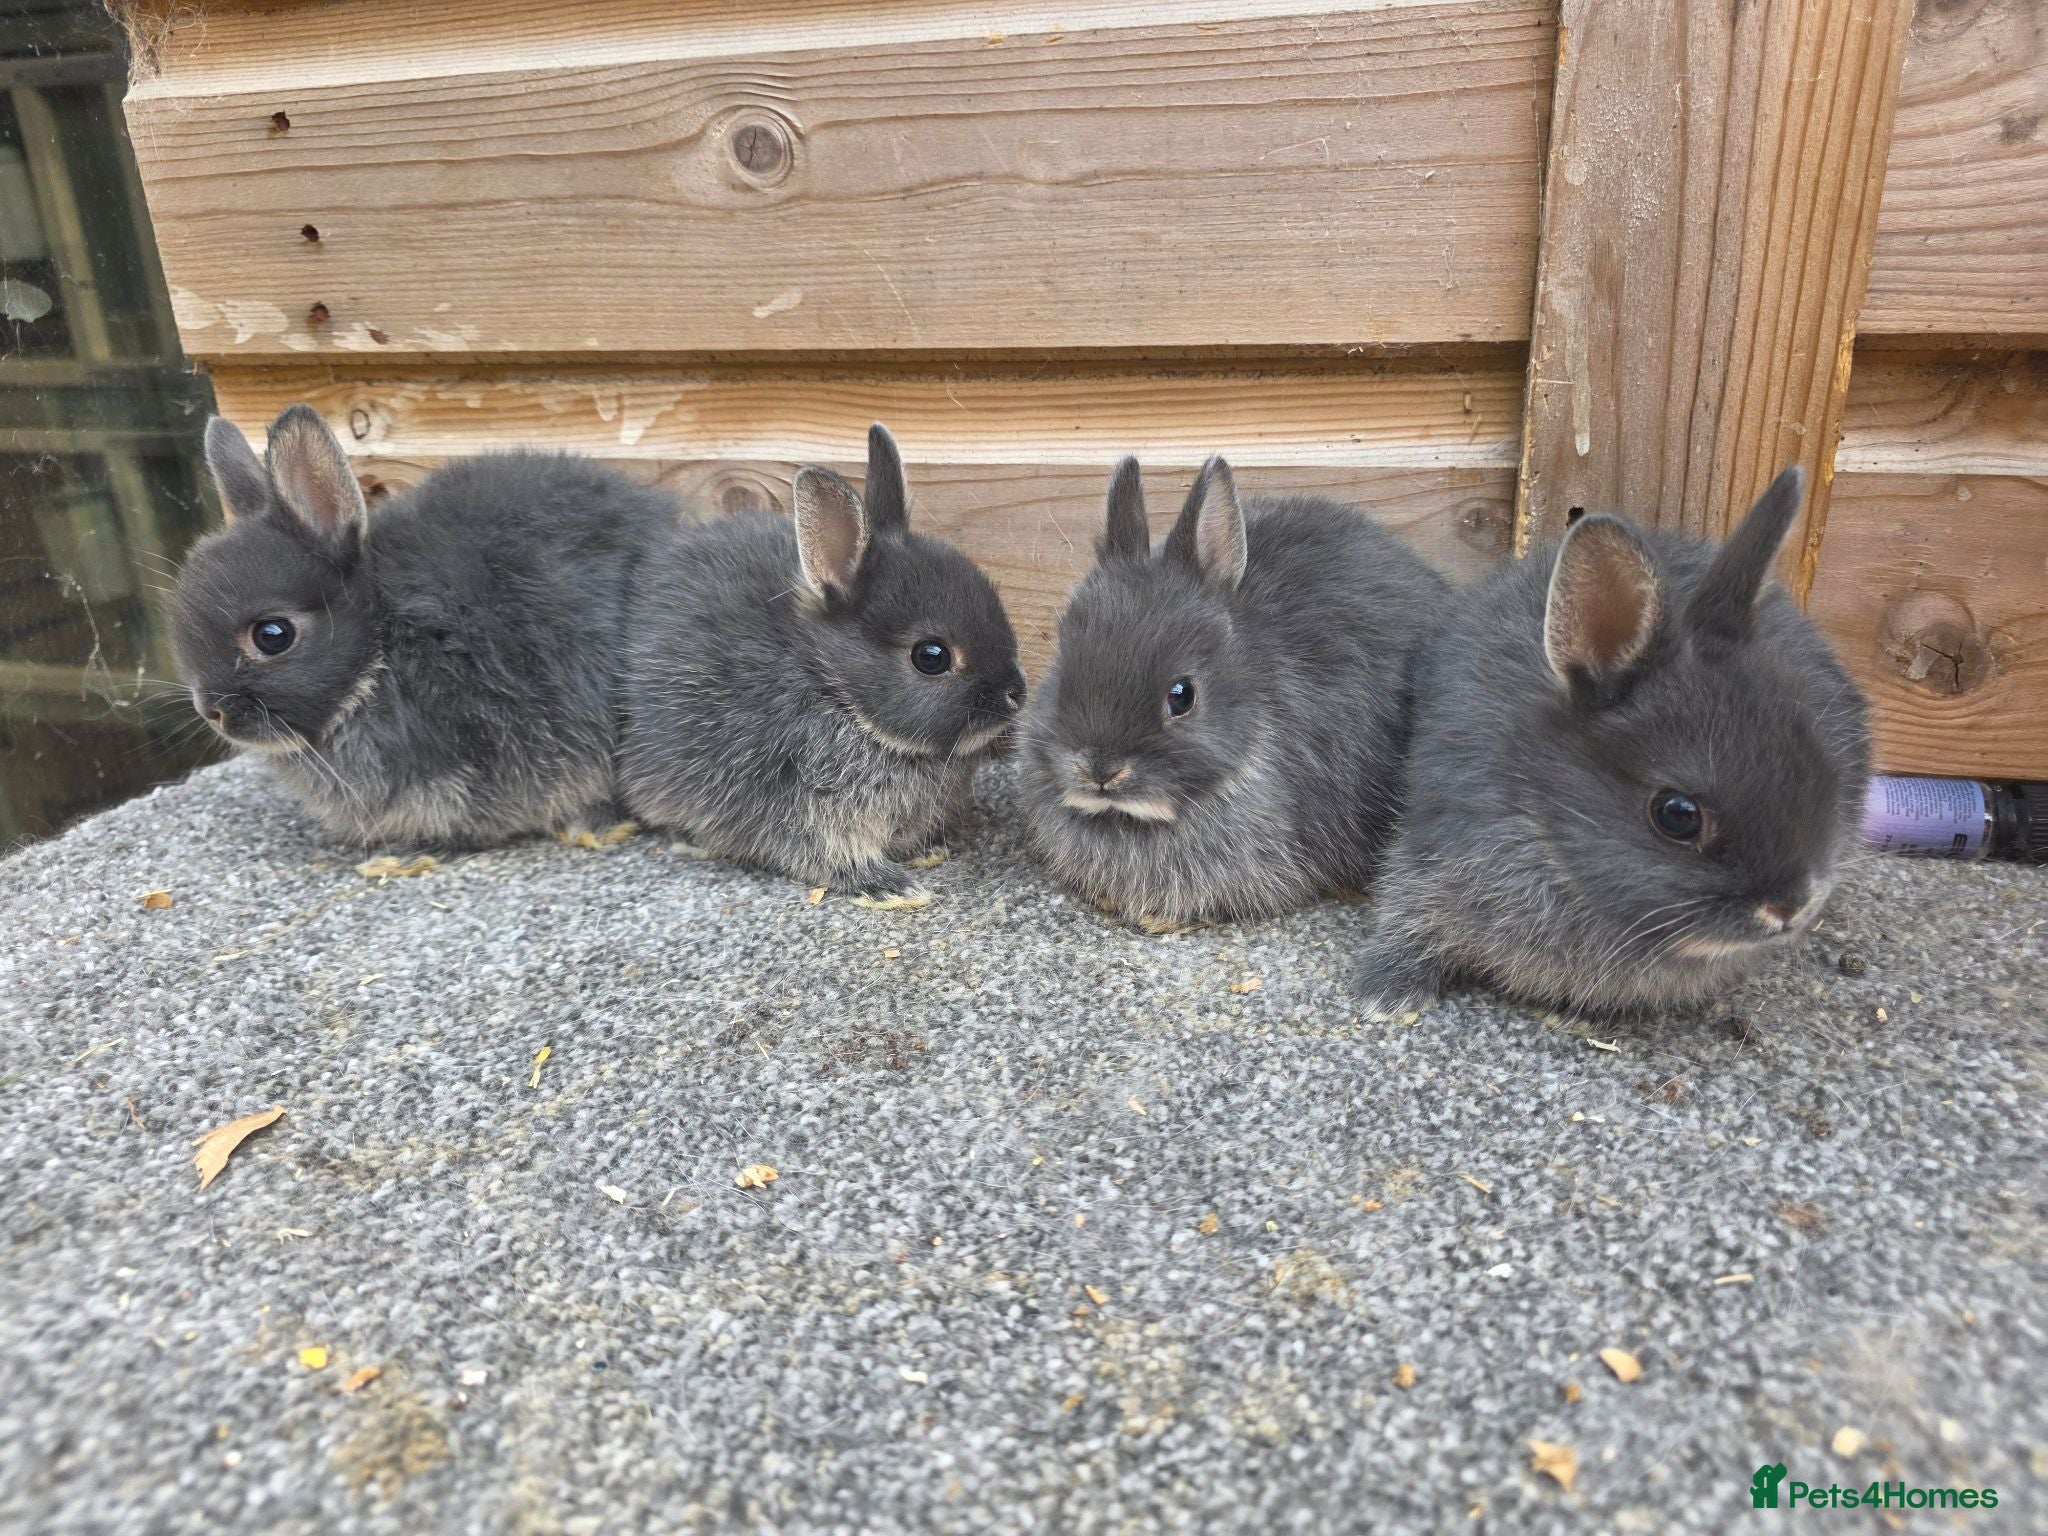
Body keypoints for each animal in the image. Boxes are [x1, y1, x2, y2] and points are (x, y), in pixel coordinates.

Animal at [617, 423, 1024, 907]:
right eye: (931, 657)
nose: (1016, 693)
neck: (832, 687)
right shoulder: (796, 798)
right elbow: (819, 850)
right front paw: (890, 886)